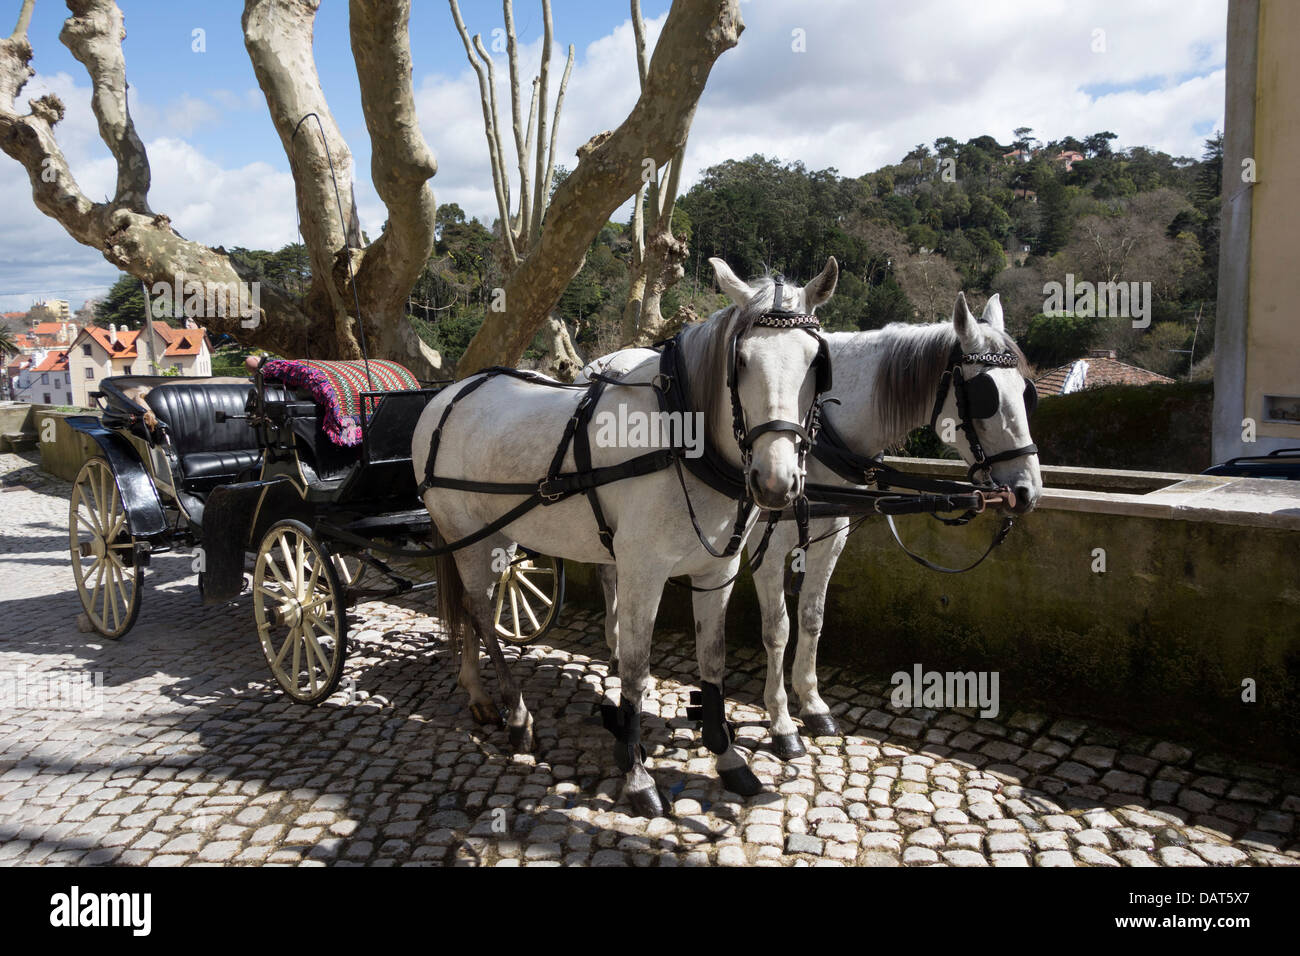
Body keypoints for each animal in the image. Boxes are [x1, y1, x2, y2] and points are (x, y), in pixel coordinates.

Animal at [410, 257, 837, 816]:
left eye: (815, 363)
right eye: (741, 360)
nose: (775, 481)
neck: (681, 436)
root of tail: (444, 396)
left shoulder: (716, 571)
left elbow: (713, 661)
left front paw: (727, 758)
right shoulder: (641, 573)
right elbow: (634, 670)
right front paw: (636, 775)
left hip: (493, 534)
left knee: (469, 608)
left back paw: (478, 694)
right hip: (465, 532)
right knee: (480, 612)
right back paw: (516, 715)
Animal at [590, 291, 1045, 764]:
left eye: (1026, 394)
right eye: (984, 396)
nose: (1026, 490)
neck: (823, 432)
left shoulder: (832, 538)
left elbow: (811, 619)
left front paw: (812, 704)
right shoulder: (768, 547)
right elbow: (777, 629)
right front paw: (781, 722)